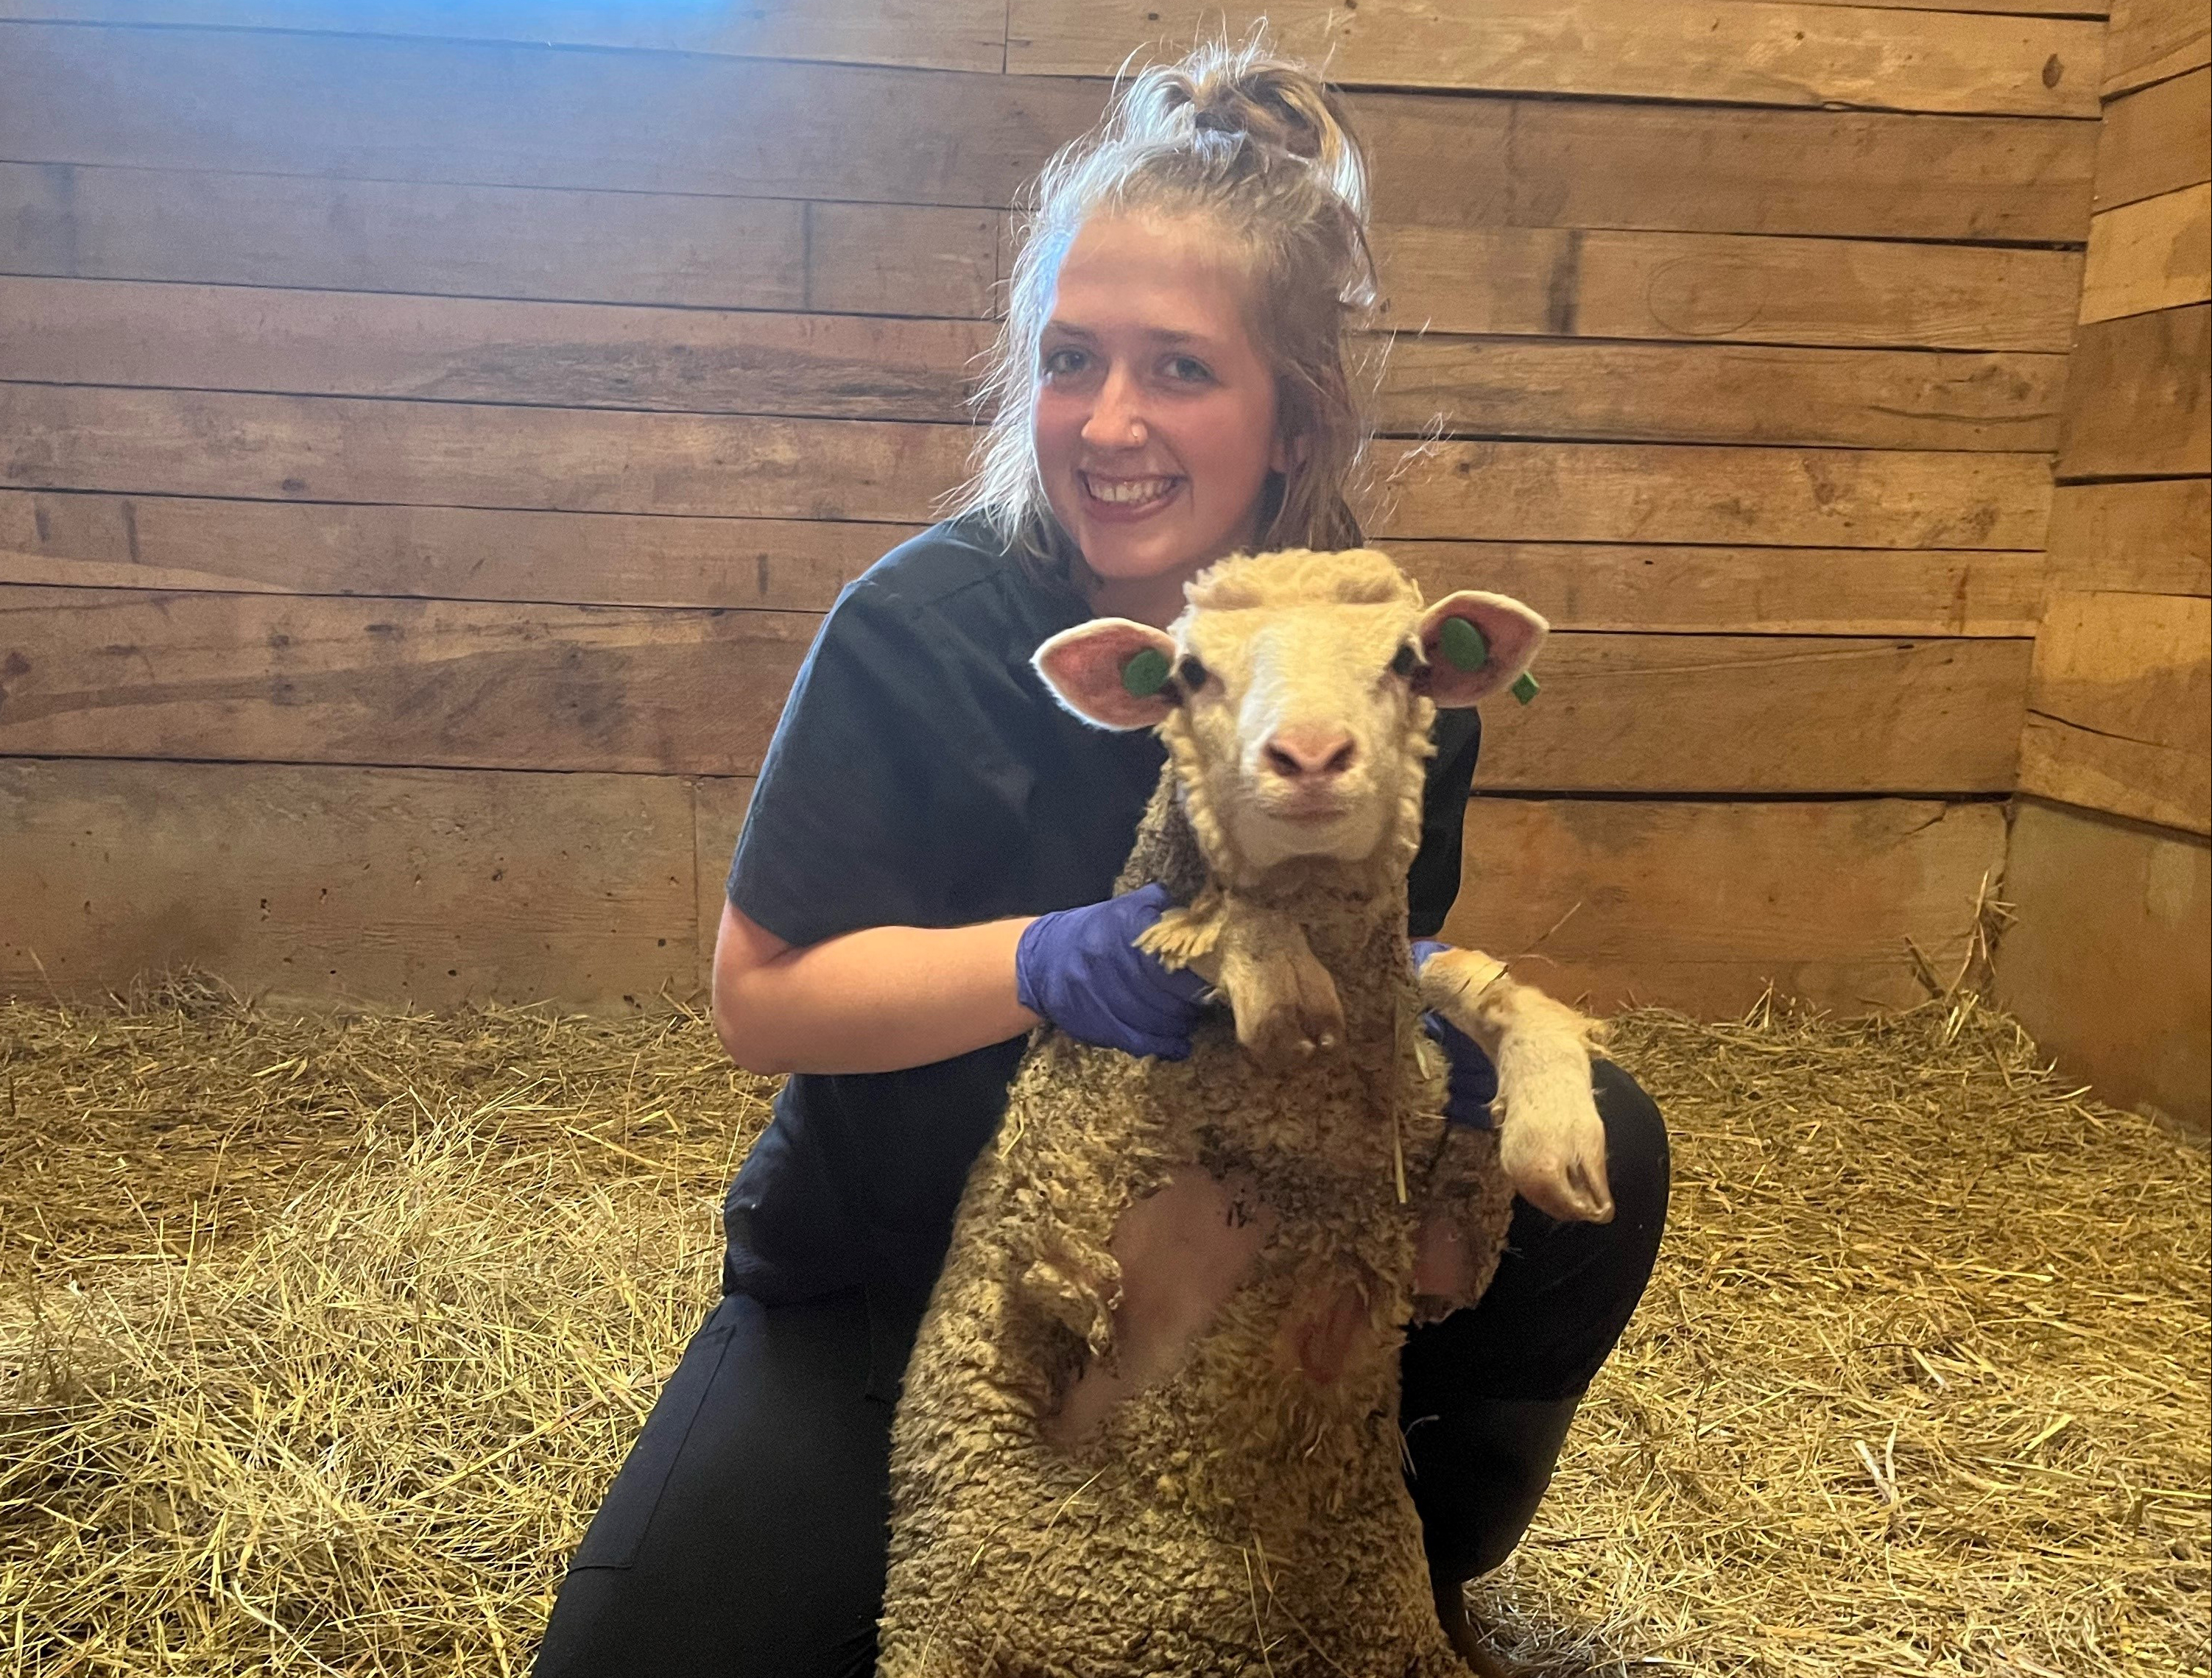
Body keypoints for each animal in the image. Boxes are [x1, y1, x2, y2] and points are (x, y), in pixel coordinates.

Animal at [867, 543, 1610, 1671]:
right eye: (1187, 673)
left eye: (1408, 659)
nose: (1307, 755)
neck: (1302, 1126)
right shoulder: (1073, 1206)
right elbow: (1186, 920)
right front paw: (1271, 965)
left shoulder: (1426, 1238)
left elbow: (1475, 984)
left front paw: (1558, 1127)